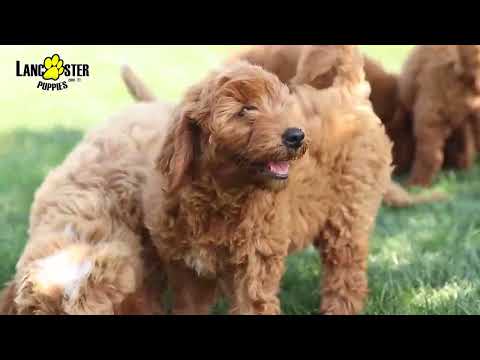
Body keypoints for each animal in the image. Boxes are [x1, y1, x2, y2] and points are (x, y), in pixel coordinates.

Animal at [142, 60, 394, 314]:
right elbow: (189, 305)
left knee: (346, 271)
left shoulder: (255, 262)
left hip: (350, 212)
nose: (296, 135)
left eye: (282, 105)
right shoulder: (187, 272)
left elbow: (252, 305)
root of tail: (347, 91)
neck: (220, 196)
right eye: (245, 110)